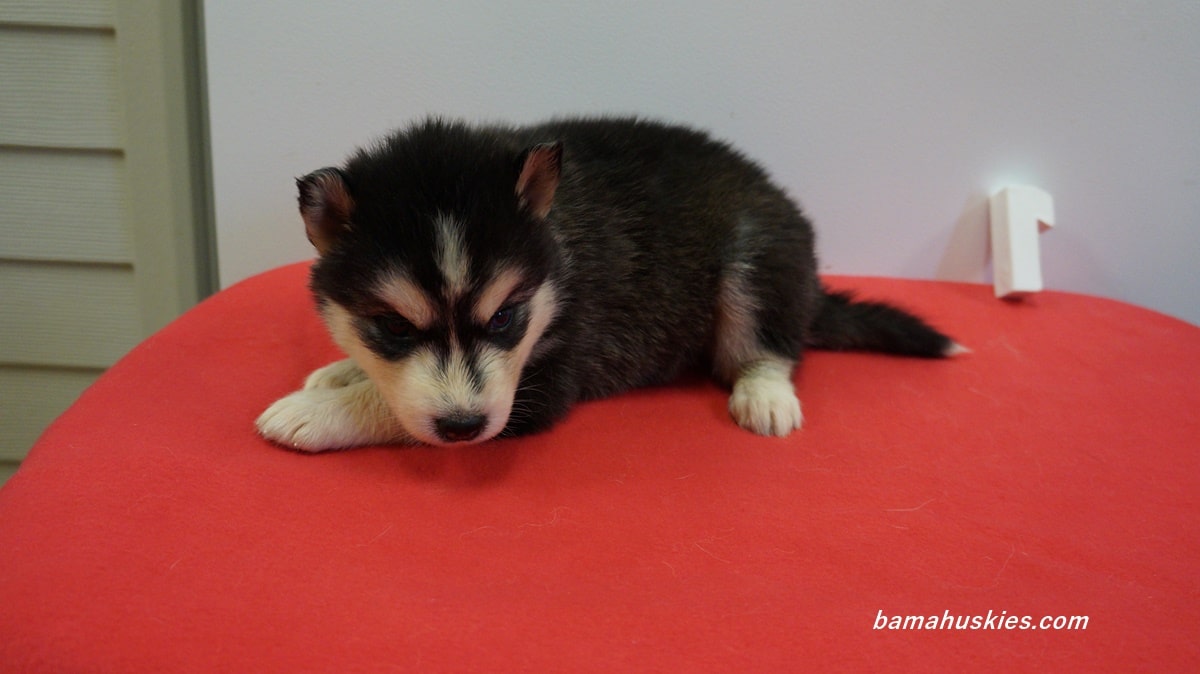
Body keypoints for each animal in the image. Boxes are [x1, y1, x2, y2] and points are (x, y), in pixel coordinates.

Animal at [256, 116, 960, 451]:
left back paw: (764, 392)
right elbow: (387, 384)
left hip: (758, 259)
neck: (560, 257)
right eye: (393, 327)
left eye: (505, 317)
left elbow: (395, 412)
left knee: (772, 341)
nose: (463, 425)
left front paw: (317, 413)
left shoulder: (545, 380)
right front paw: (342, 373)